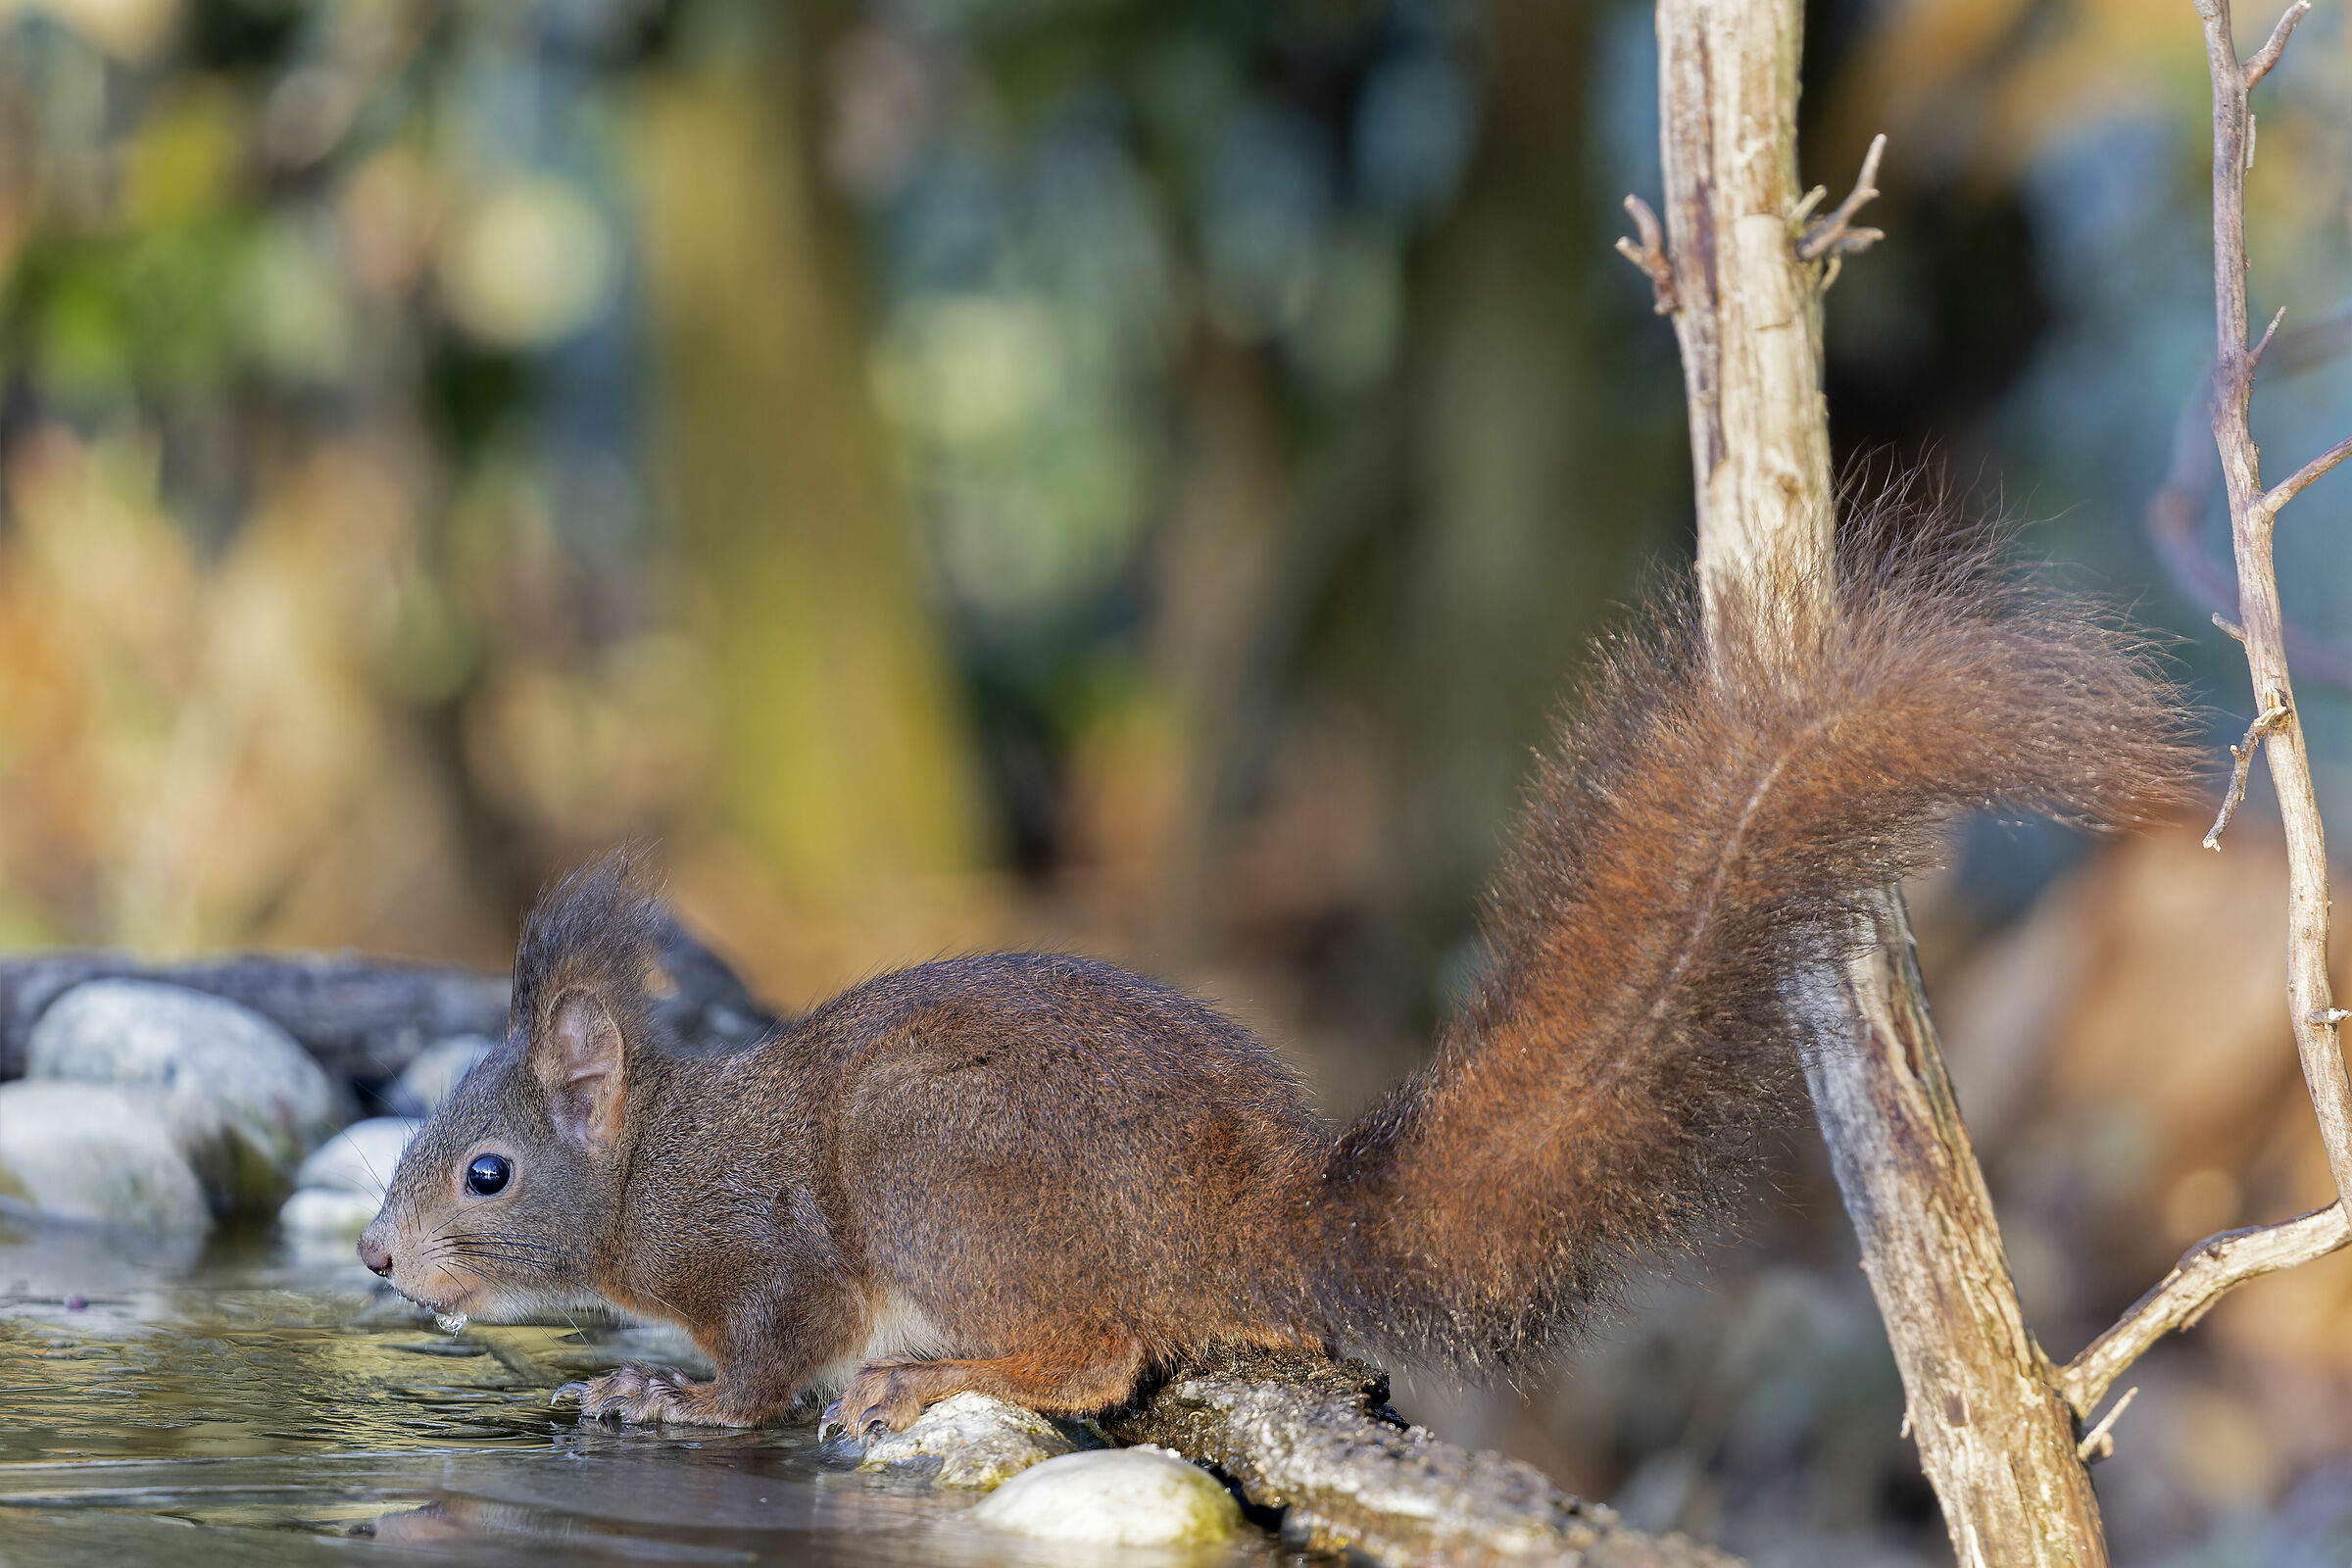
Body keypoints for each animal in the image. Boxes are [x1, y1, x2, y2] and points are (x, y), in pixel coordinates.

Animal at [359, 529, 2190, 1437]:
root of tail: (1252, 1219)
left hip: (945, 1175)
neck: (654, 1163)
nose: (376, 1261)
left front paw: (660, 1399)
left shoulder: (772, 1259)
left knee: (1097, 1356)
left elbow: (762, 1366)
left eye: (487, 1172)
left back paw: (932, 1377)